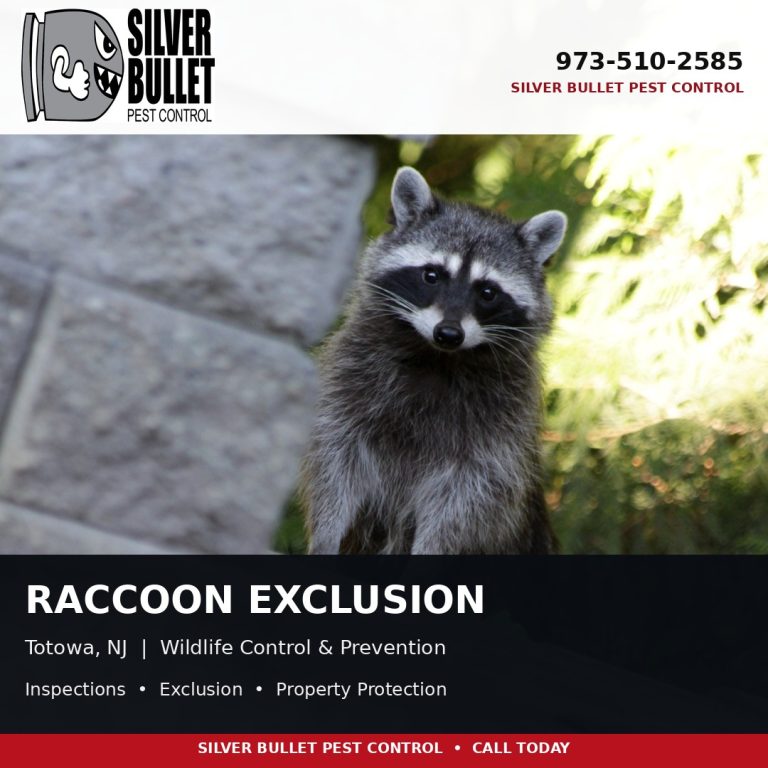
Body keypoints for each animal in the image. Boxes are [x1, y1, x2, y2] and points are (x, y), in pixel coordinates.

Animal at [301, 167, 566, 554]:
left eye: (488, 292)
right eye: (432, 275)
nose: (449, 333)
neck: (437, 356)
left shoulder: (498, 431)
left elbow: (466, 500)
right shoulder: (349, 383)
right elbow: (336, 465)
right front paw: (326, 534)